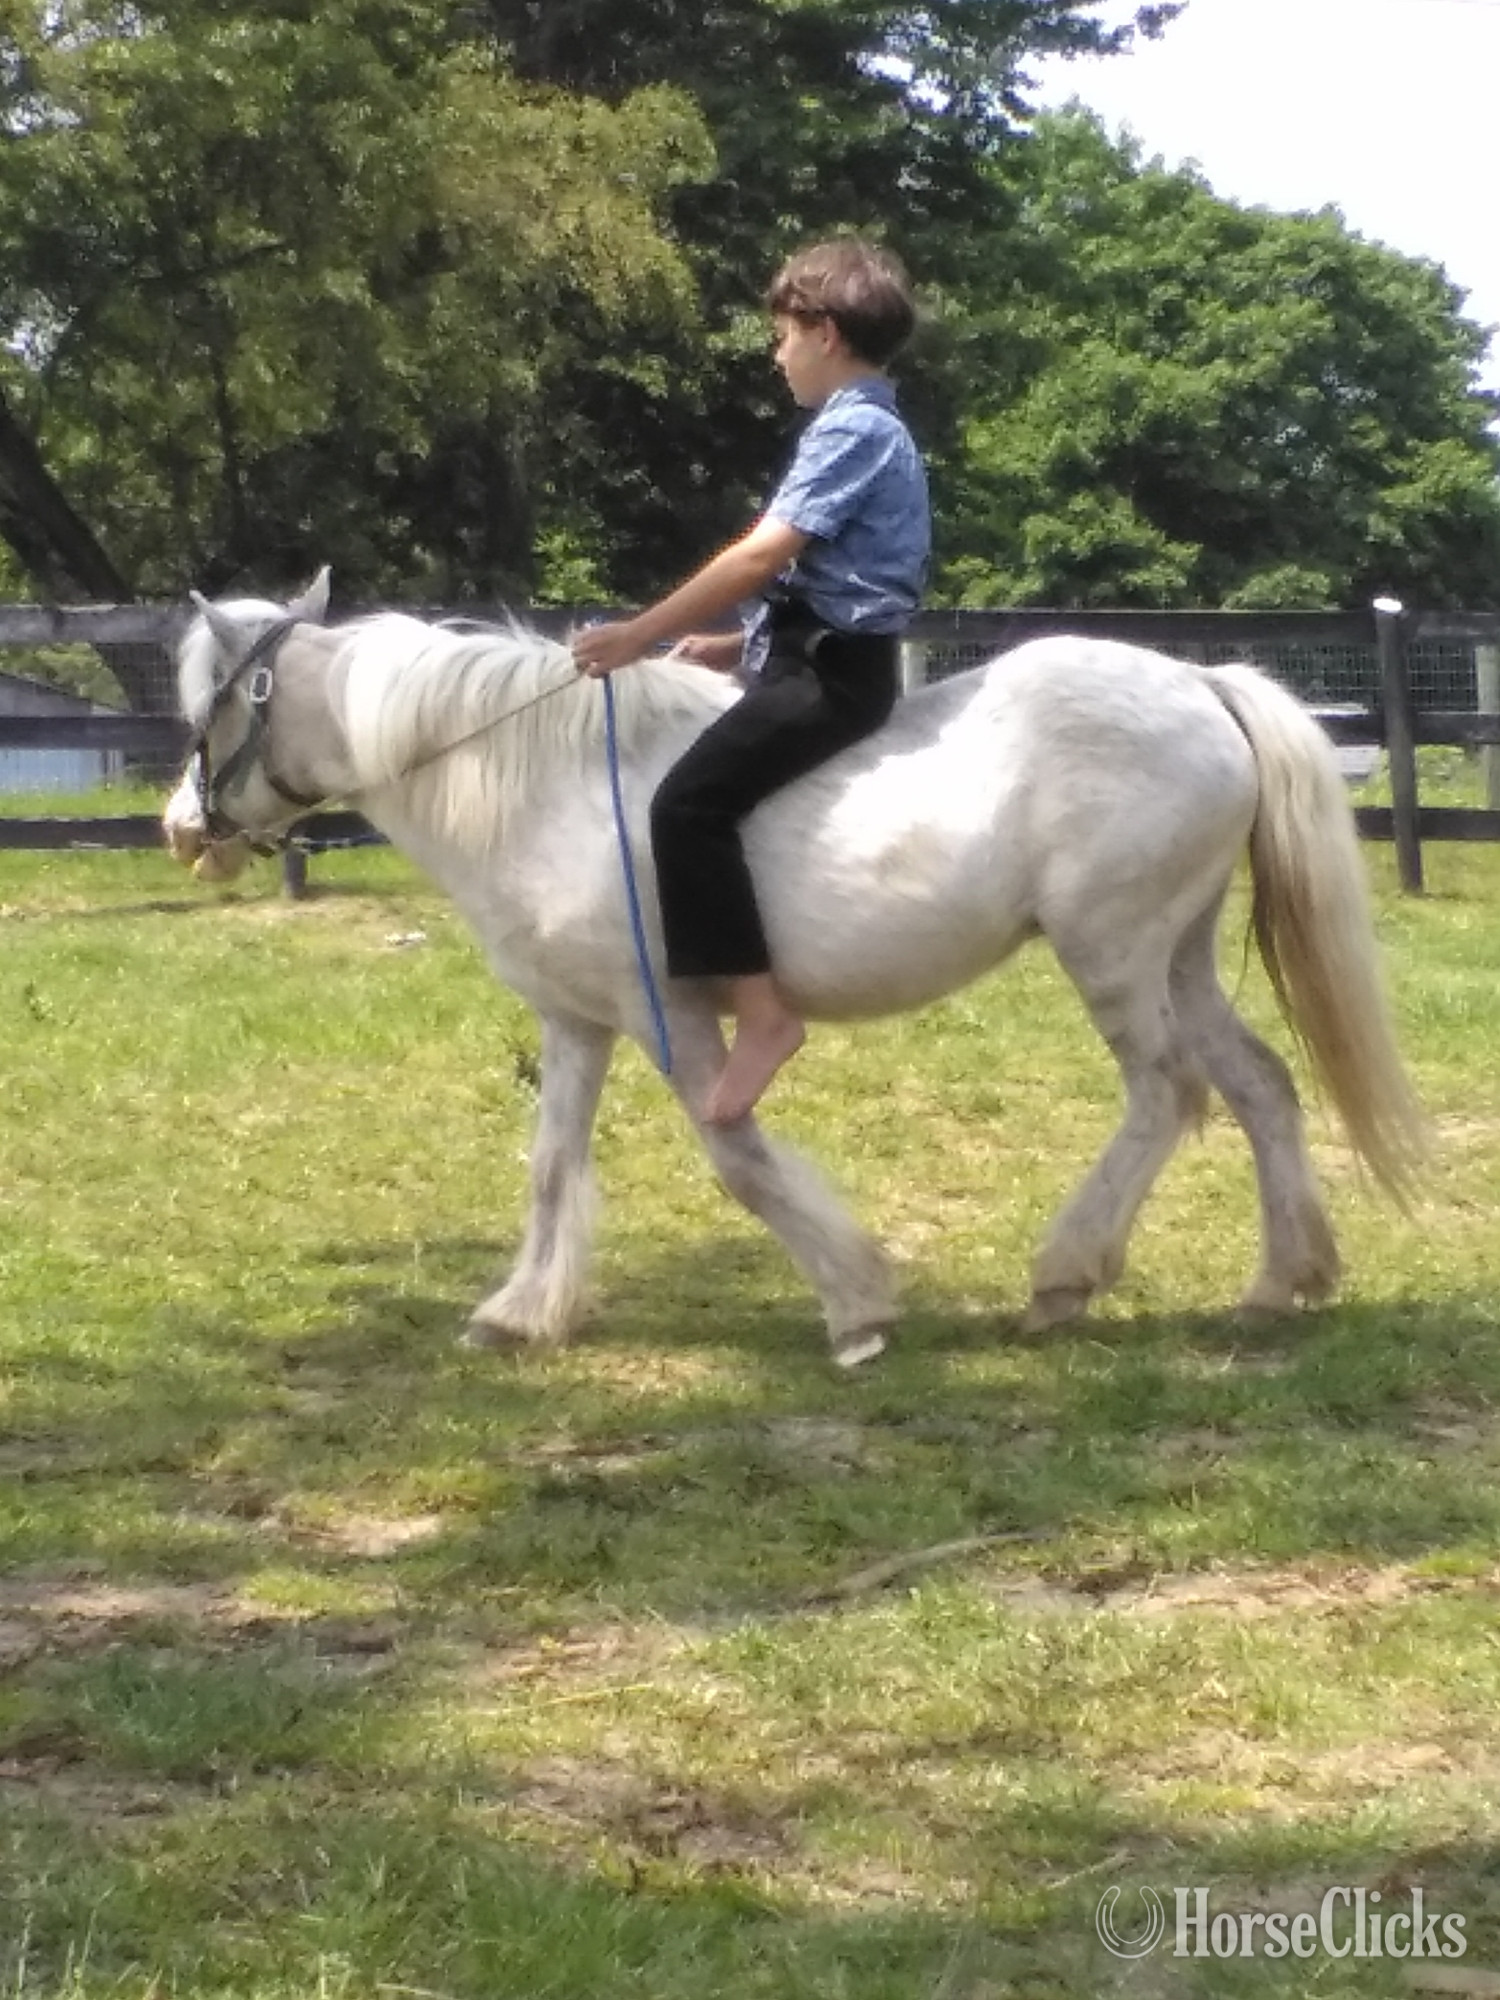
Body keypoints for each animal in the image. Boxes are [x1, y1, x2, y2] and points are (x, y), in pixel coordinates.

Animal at [162, 571, 1425, 1367]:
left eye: (203, 708)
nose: (183, 826)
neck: (545, 784)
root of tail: (1201, 683)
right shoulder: (577, 1020)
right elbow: (552, 1164)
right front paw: (519, 1314)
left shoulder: (667, 1015)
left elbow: (737, 1157)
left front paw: (858, 1304)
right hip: (1179, 952)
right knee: (1259, 1083)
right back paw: (1283, 1281)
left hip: (1110, 950)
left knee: (1169, 1093)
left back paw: (1065, 1276)